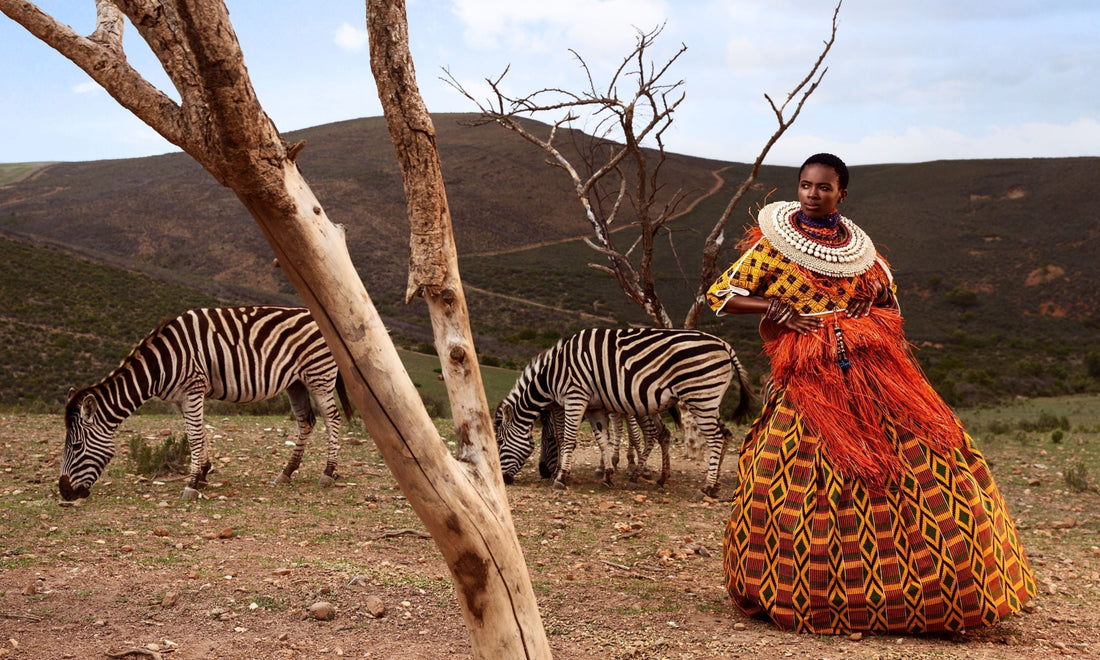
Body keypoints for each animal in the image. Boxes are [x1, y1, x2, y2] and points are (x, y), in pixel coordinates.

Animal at [60, 305, 352, 503]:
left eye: (75, 446)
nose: (64, 492)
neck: (161, 364)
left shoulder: (193, 389)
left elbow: (194, 436)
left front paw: (191, 483)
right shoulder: (183, 397)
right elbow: (198, 432)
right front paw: (202, 474)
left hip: (319, 374)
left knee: (332, 418)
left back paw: (328, 472)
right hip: (296, 382)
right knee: (306, 421)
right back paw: (287, 472)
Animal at [499, 327, 756, 497]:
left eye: (500, 442)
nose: (503, 480)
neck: (554, 373)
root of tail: (724, 345)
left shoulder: (576, 396)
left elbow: (570, 437)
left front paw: (561, 477)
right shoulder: (595, 405)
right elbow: (602, 440)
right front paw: (607, 474)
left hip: (700, 397)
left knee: (715, 438)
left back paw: (707, 487)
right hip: (708, 400)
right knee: (724, 435)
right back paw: (707, 483)